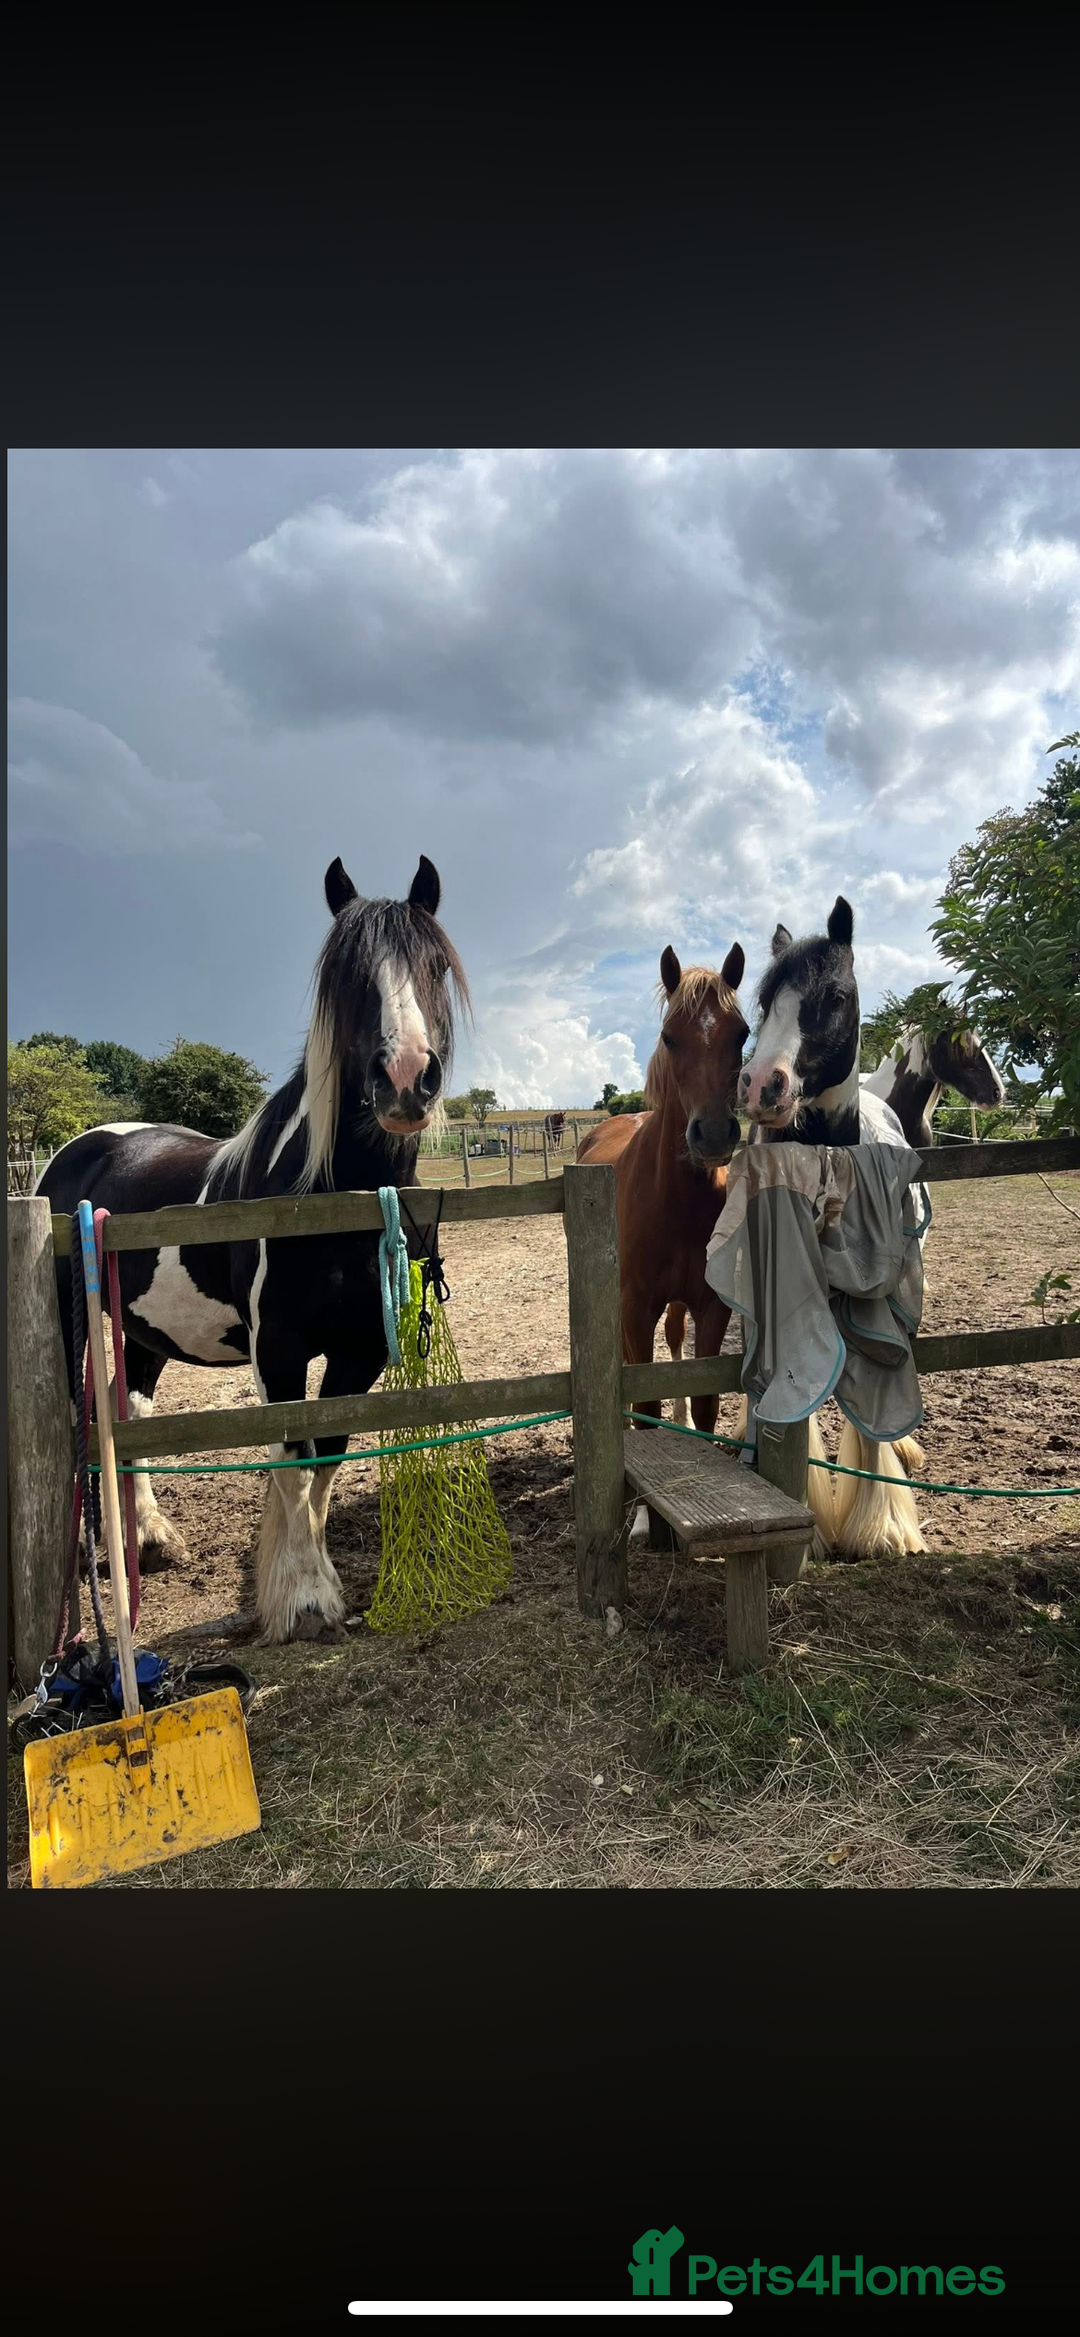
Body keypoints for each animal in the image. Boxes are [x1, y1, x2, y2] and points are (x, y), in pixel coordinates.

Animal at [36, 855, 469, 1643]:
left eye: (433, 966)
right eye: (349, 976)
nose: (405, 1079)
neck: (333, 1204)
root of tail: (75, 1152)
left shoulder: (360, 1351)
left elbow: (327, 1457)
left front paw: (318, 1582)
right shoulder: (281, 1351)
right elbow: (293, 1459)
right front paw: (302, 1598)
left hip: (143, 1331)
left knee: (128, 1408)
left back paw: (150, 1537)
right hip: (70, 1326)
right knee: (86, 1421)